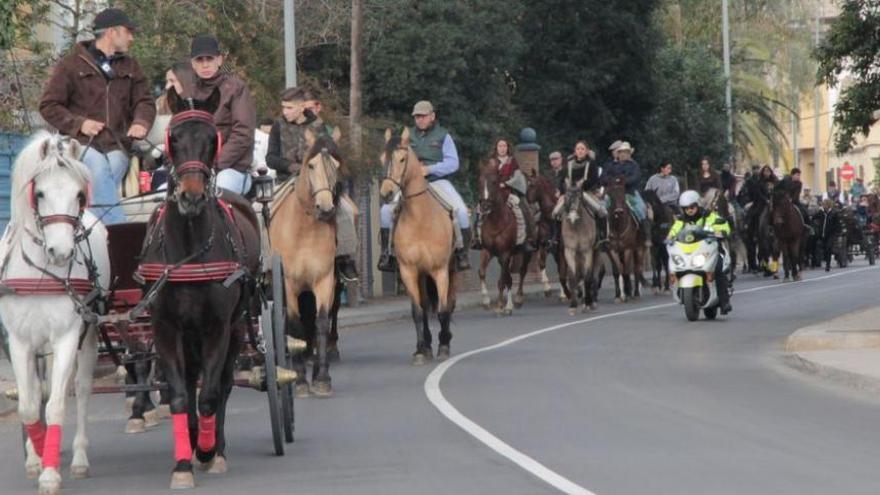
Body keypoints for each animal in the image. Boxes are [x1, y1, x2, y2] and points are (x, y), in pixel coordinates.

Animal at [138, 89, 260, 488]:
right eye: (174, 140)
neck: (189, 251)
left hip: (236, 328)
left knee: (221, 384)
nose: (190, 197)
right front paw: (182, 461)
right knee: (192, 380)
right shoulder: (165, 328)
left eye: (211, 140)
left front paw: (207, 450)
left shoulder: (216, 329)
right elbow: (179, 395)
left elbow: (209, 393)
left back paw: (214, 447)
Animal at [266, 129, 342, 400]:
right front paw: (298, 380)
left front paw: (322, 378)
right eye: (311, 165)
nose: (326, 208)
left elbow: (320, 322)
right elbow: (295, 325)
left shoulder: (324, 281)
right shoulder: (289, 284)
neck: (305, 229)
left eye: (337, 166)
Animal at [380, 128, 458, 364]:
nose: (387, 193)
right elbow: (418, 312)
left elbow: (442, 309)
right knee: (424, 305)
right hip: (422, 276)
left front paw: (443, 346)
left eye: (402, 159)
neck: (420, 218)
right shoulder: (409, 271)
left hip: (451, 270)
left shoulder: (440, 270)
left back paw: (444, 339)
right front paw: (421, 349)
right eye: (382, 159)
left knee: (449, 304)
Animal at [478, 163, 532, 318]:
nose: (485, 206)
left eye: (494, 182)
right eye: (479, 181)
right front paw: (487, 302)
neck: (496, 222)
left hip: (527, 252)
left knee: (522, 272)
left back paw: (518, 299)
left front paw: (504, 306)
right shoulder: (488, 251)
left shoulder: (505, 253)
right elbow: (482, 272)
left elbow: (504, 279)